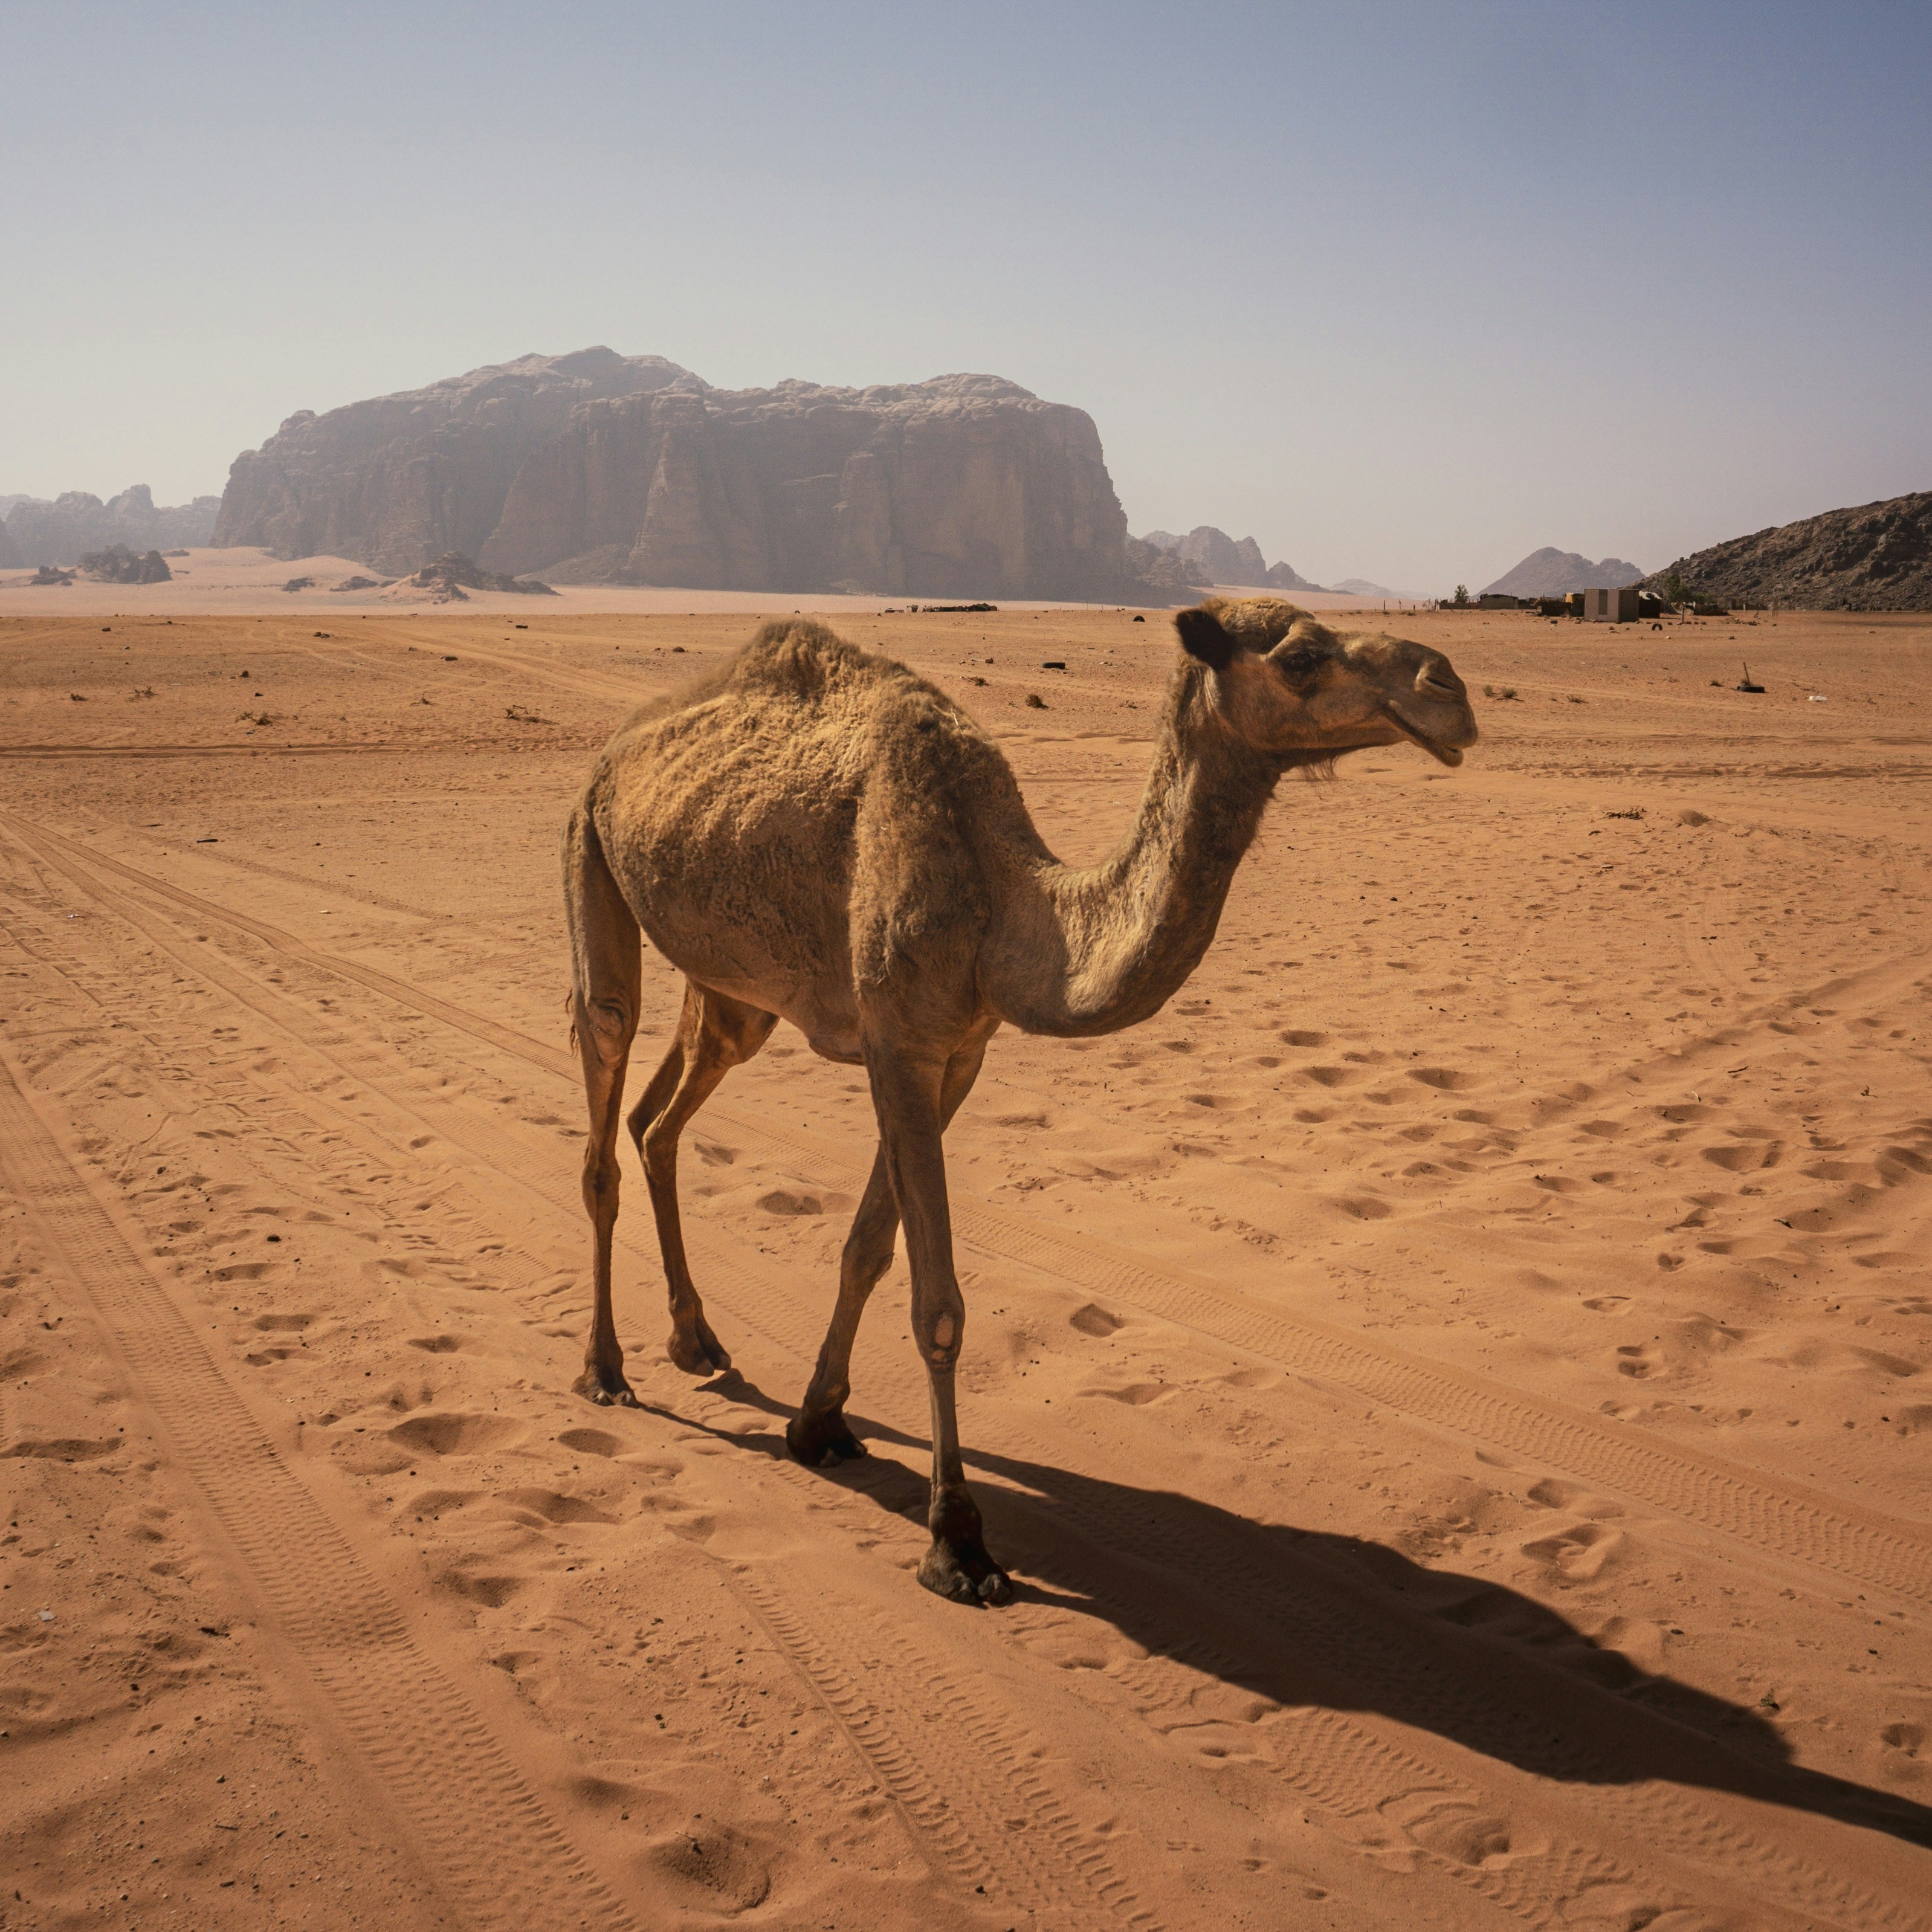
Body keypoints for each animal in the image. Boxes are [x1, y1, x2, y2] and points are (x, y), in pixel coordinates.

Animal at [562, 596, 1477, 1604]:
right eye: (1302, 656)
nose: (1449, 688)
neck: (1003, 903)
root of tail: (617, 749)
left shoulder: (957, 1054)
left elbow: (866, 1249)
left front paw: (819, 1424)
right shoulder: (897, 1039)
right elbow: (937, 1302)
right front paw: (957, 1540)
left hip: (732, 984)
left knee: (659, 1121)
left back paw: (696, 1341)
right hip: (589, 851)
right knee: (605, 1096)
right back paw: (604, 1370)